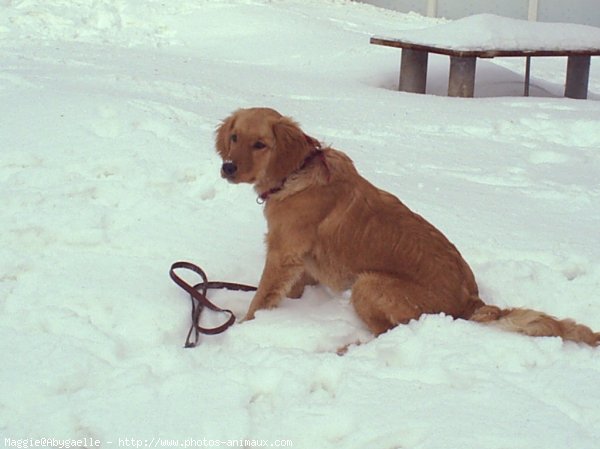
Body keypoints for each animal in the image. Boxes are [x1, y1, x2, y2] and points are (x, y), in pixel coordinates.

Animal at [216, 107, 600, 344]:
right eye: (235, 137)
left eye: (260, 144)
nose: (228, 167)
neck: (295, 174)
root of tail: (471, 302)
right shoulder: (299, 260)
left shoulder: (283, 253)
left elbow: (261, 298)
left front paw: (245, 329)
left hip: (368, 284)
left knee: (385, 334)